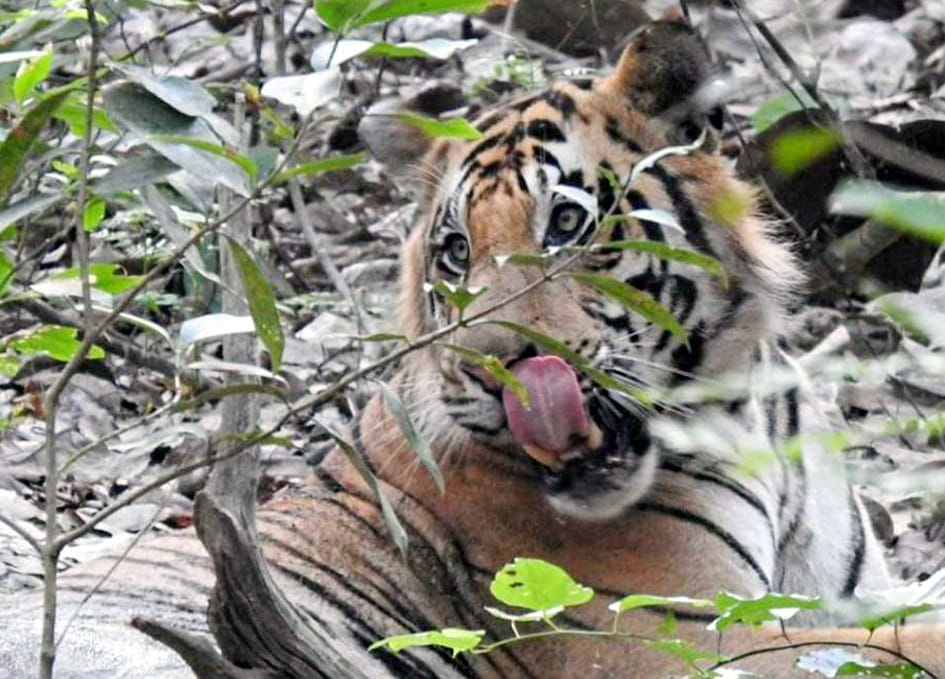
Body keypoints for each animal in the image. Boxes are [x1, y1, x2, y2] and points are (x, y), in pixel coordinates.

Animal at [3, 19, 945, 679]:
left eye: (565, 222)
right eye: (455, 252)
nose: (495, 367)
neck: (751, 408)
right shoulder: (669, 637)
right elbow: (903, 643)